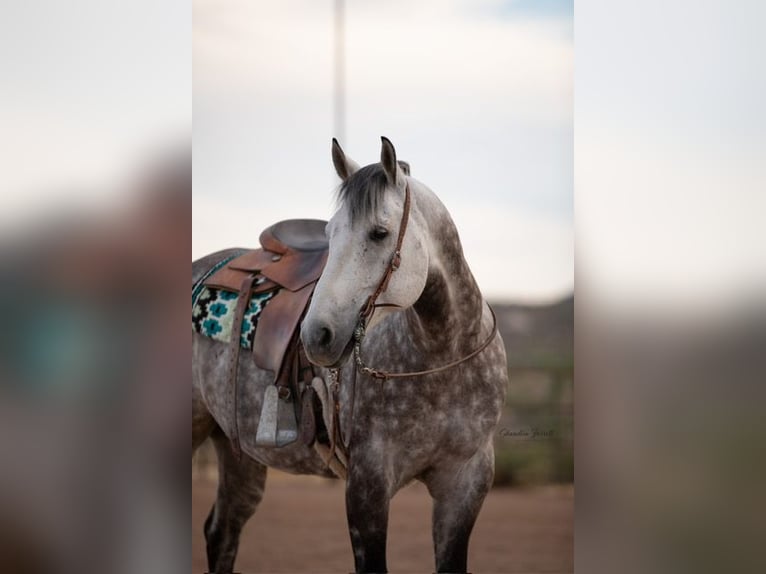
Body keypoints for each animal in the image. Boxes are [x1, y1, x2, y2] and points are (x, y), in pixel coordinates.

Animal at [192, 137, 508, 573]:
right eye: (330, 233)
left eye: (379, 233)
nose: (316, 336)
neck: (443, 356)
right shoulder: (367, 485)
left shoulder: (466, 482)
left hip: (238, 451)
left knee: (221, 532)